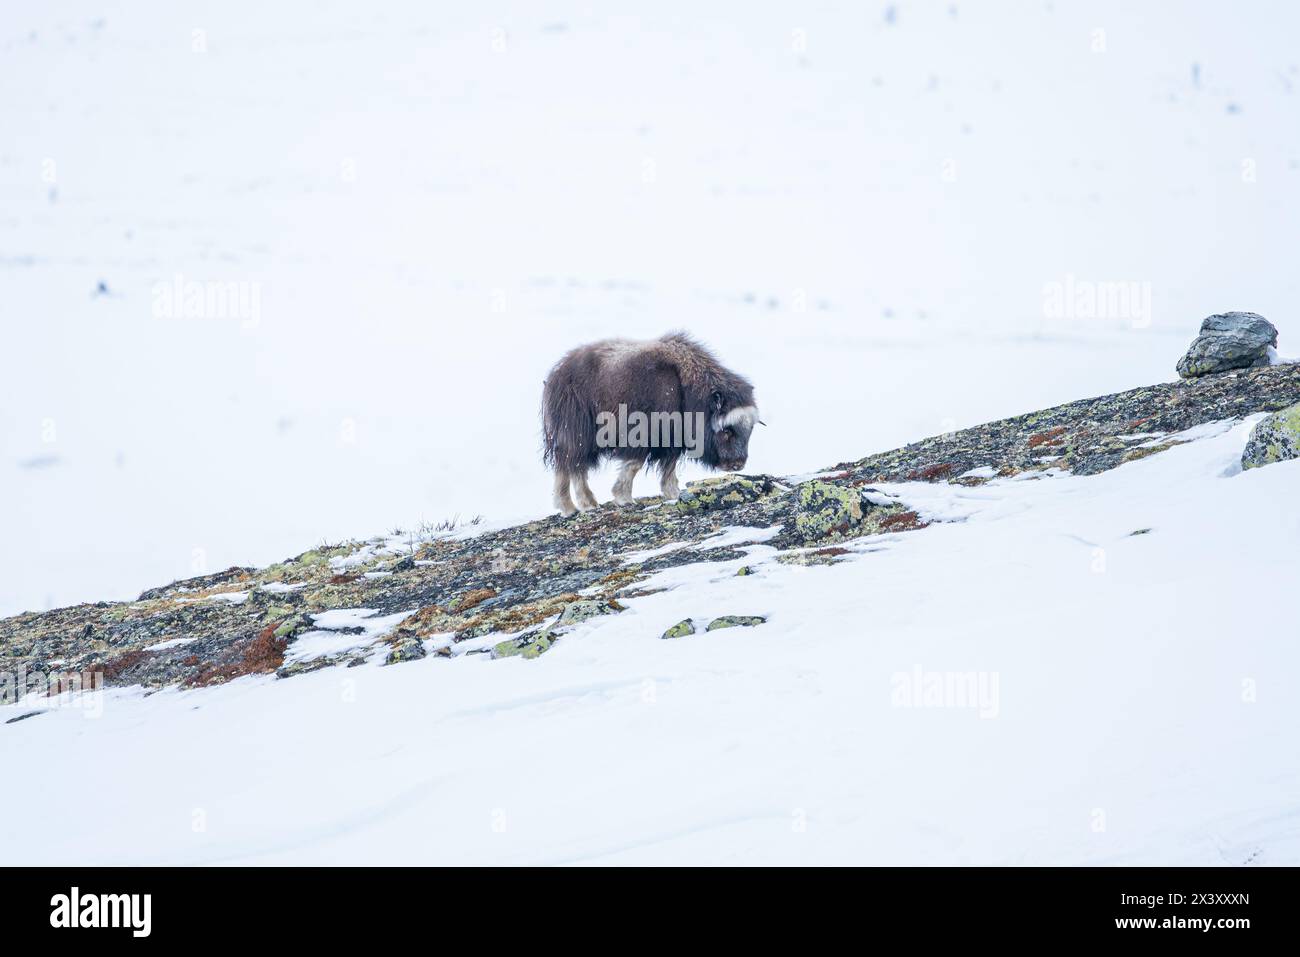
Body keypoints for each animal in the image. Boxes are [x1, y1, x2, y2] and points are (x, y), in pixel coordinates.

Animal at [540, 335, 759, 514]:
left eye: (750, 430)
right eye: (727, 430)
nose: (738, 464)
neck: (687, 389)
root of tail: (556, 374)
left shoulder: (672, 439)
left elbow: (669, 466)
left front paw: (673, 494)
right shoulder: (644, 433)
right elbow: (635, 464)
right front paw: (624, 498)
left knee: (566, 466)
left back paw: (572, 506)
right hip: (578, 432)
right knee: (575, 465)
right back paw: (583, 505)